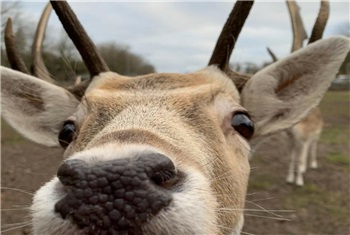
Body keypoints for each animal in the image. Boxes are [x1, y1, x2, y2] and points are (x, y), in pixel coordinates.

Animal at [266, 0, 330, 187]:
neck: (295, 132)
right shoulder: (291, 142)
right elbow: (292, 159)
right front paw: (289, 178)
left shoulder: (304, 138)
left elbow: (300, 158)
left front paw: (299, 181)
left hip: (317, 133)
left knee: (313, 148)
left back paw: (312, 165)